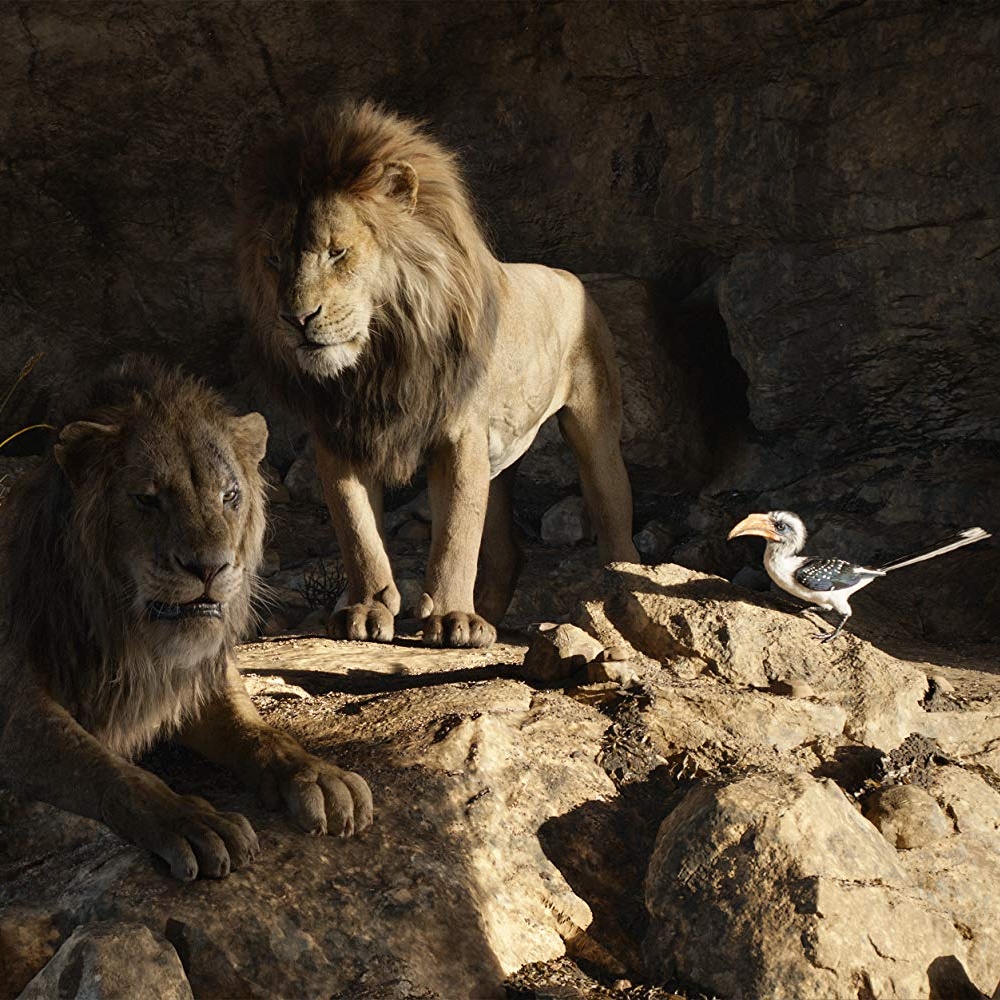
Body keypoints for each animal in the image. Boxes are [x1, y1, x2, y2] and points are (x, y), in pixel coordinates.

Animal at [0, 358, 372, 880]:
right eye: (148, 499)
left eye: (229, 495)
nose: (209, 568)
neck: (126, 631)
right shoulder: (15, 709)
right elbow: (107, 771)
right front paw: (190, 819)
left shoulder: (195, 677)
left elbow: (261, 733)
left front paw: (317, 774)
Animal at [237, 101, 639, 649]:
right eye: (274, 258)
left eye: (338, 251)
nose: (296, 319)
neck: (380, 359)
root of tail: (568, 274)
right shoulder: (339, 435)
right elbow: (357, 530)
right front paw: (366, 610)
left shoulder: (460, 435)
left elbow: (454, 536)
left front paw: (452, 620)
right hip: (499, 459)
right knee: (506, 549)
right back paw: (489, 613)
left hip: (594, 431)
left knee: (613, 515)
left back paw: (617, 593)